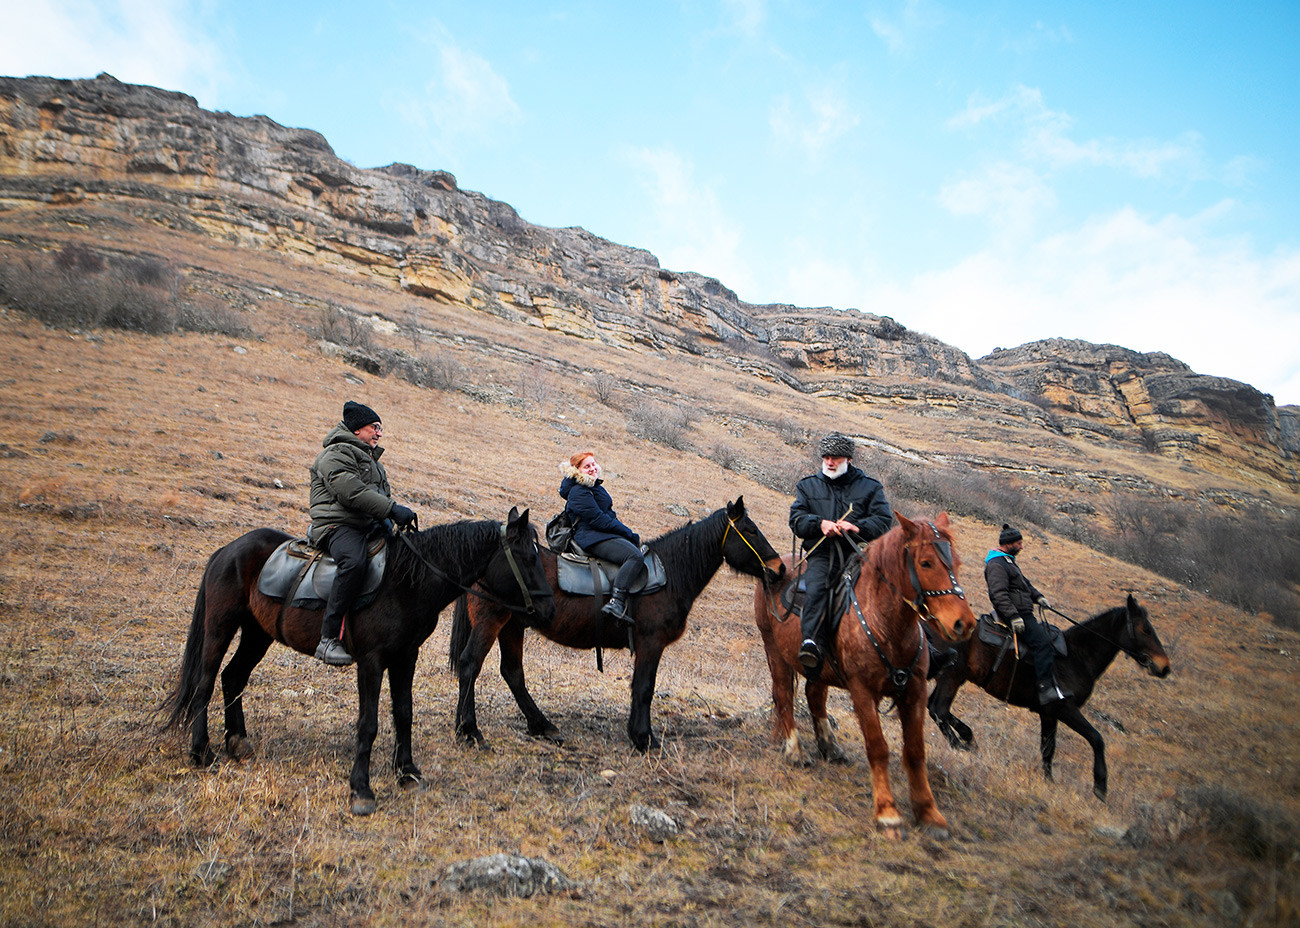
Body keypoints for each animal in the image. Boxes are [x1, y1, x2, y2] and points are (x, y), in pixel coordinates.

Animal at [159, 509, 551, 811]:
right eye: (529, 558)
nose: (548, 608)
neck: (407, 581)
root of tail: (228, 550)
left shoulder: (406, 656)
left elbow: (404, 713)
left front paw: (407, 772)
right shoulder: (372, 661)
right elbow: (369, 724)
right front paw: (361, 789)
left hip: (258, 633)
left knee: (233, 677)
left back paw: (237, 742)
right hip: (221, 626)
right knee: (205, 682)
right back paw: (201, 751)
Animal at [447, 496, 780, 748]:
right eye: (750, 530)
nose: (779, 569)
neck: (671, 573)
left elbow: (638, 686)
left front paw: (638, 734)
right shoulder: (651, 642)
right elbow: (644, 687)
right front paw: (644, 739)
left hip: (511, 626)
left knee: (513, 673)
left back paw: (542, 726)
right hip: (491, 621)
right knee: (471, 664)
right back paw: (469, 730)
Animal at [754, 509, 977, 837]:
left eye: (957, 563)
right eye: (926, 563)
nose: (964, 623)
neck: (887, 624)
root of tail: (777, 569)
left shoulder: (915, 692)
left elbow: (915, 751)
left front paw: (929, 813)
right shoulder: (862, 690)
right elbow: (878, 747)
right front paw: (887, 813)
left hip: (818, 667)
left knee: (814, 695)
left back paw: (830, 746)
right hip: (775, 650)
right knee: (783, 695)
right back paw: (794, 750)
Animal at [930, 595, 1175, 800]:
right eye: (1145, 629)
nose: (1164, 667)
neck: (1077, 657)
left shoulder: (1049, 714)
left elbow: (1048, 749)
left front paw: (1049, 782)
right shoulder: (1065, 709)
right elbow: (1096, 738)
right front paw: (1100, 786)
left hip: (947, 677)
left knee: (933, 708)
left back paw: (967, 738)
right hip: (952, 677)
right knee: (939, 709)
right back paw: (961, 745)